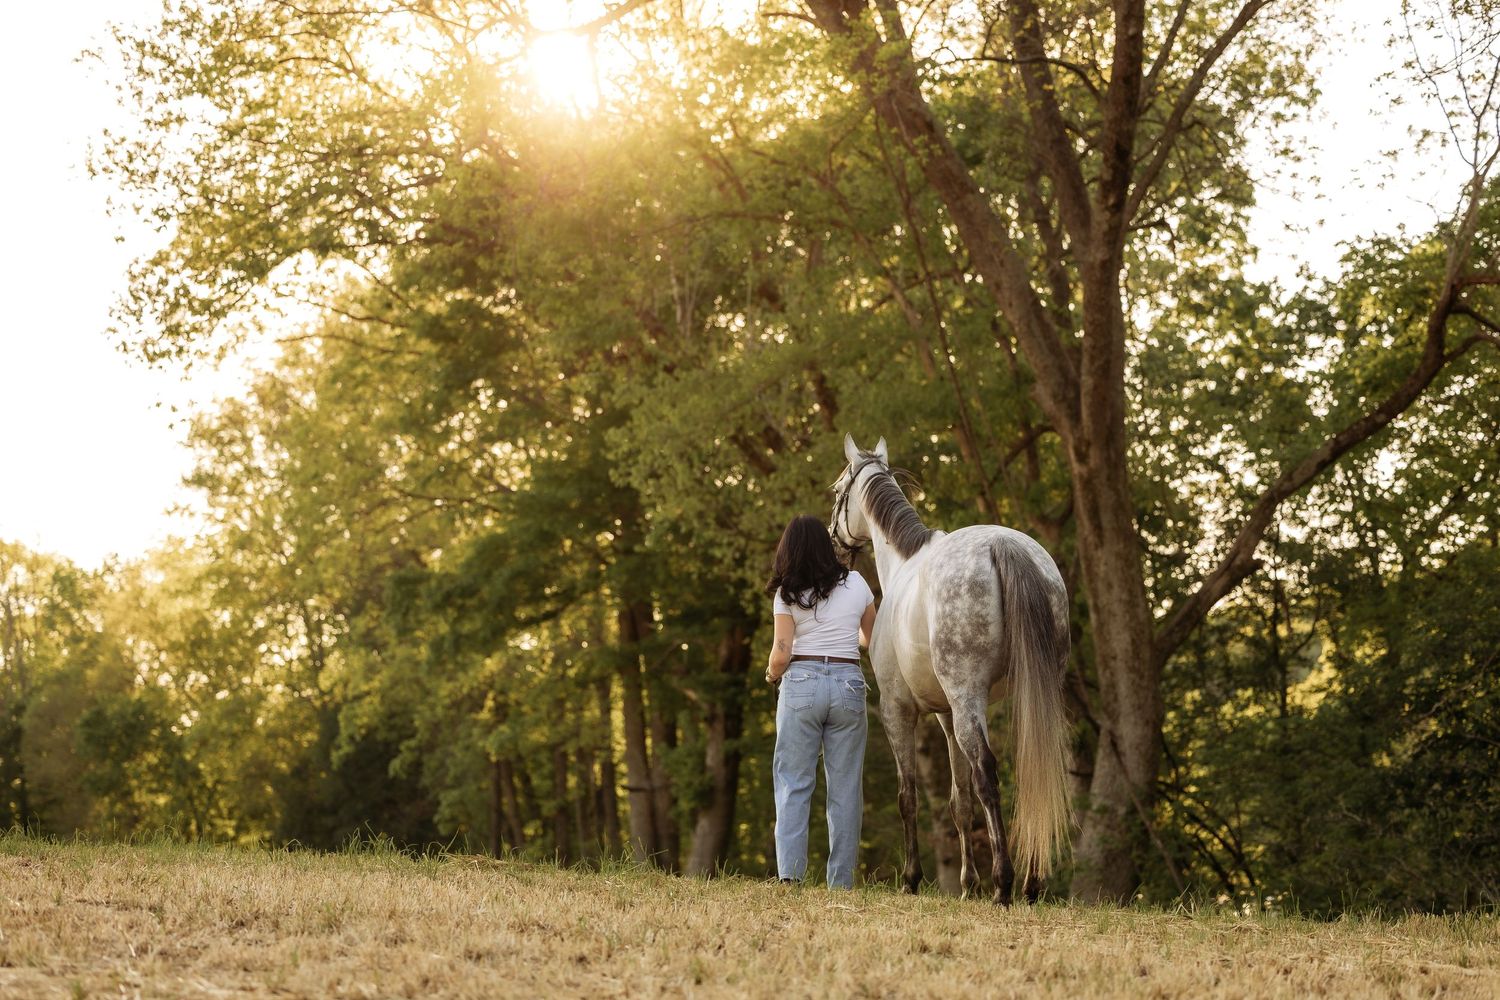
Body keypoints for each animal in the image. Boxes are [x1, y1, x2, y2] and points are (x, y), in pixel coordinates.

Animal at [831, 434, 1072, 905]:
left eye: (837, 492)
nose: (834, 545)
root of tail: (1005, 546)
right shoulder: (945, 716)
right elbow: (959, 802)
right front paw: (966, 885)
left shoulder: (899, 711)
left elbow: (909, 795)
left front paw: (911, 879)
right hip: (1025, 697)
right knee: (1031, 771)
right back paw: (1031, 885)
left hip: (966, 700)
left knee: (988, 775)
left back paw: (1003, 886)